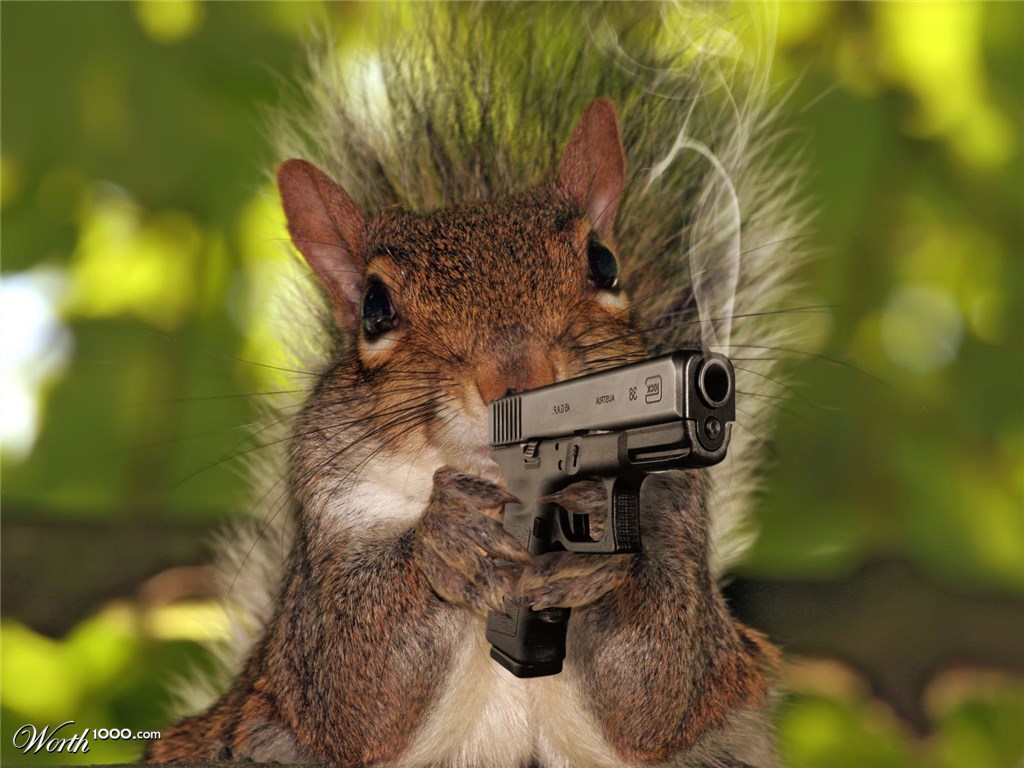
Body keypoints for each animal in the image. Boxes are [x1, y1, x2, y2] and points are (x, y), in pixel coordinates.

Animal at [146, 5, 807, 767]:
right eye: (374, 308)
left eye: (604, 264)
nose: (517, 378)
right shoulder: (328, 535)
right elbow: (352, 682)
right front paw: (446, 535)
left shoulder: (675, 512)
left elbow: (665, 684)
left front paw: (593, 529)